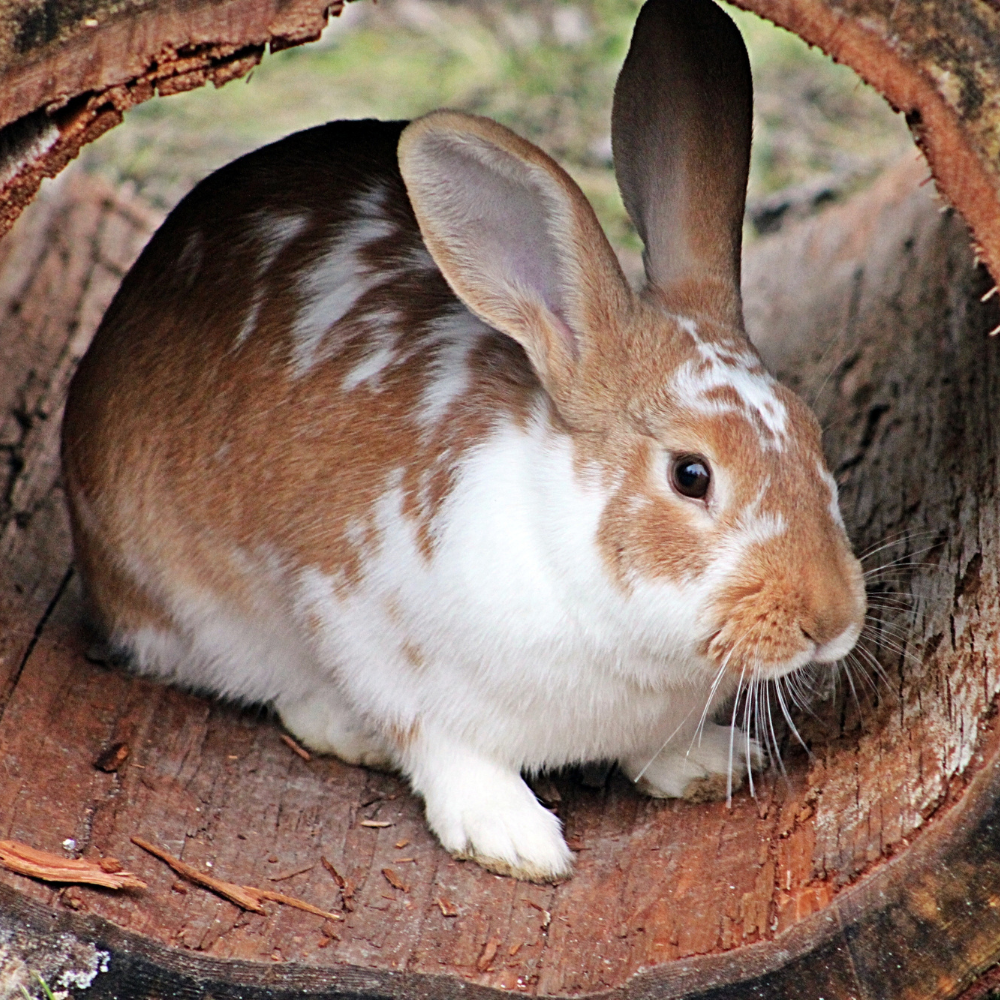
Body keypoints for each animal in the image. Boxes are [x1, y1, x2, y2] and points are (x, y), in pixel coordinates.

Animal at [58, 0, 864, 880]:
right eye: (691, 474)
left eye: (813, 430)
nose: (832, 619)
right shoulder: (376, 641)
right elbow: (446, 749)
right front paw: (516, 841)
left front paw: (709, 761)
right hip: (195, 607)